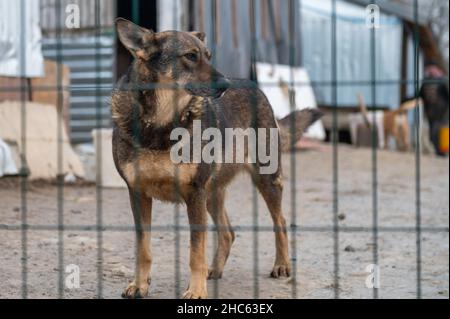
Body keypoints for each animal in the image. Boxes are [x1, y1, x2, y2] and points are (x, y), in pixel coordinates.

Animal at [111, 18, 324, 300]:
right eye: (190, 56)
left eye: (209, 56)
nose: (225, 85)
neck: (161, 124)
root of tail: (254, 86)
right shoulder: (138, 193)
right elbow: (143, 248)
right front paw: (140, 285)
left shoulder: (194, 194)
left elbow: (195, 252)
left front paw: (196, 290)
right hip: (212, 194)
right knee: (228, 233)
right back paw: (215, 269)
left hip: (264, 181)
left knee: (280, 221)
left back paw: (281, 265)